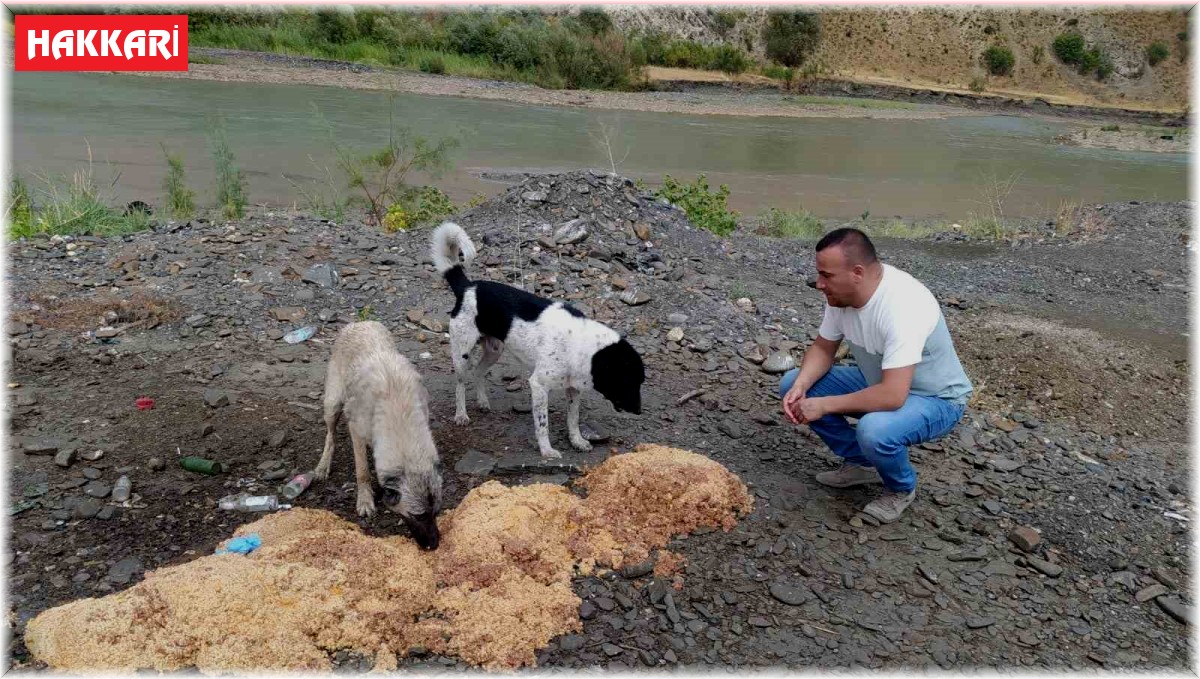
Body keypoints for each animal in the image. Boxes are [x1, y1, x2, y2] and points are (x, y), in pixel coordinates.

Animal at [427, 220, 643, 460]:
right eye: (628, 381)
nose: (639, 411)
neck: (583, 345)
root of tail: (467, 287)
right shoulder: (539, 385)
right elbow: (542, 424)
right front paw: (546, 450)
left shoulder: (573, 388)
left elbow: (573, 418)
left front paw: (577, 441)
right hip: (462, 352)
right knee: (460, 383)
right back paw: (461, 414)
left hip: (494, 350)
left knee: (479, 371)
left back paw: (482, 402)